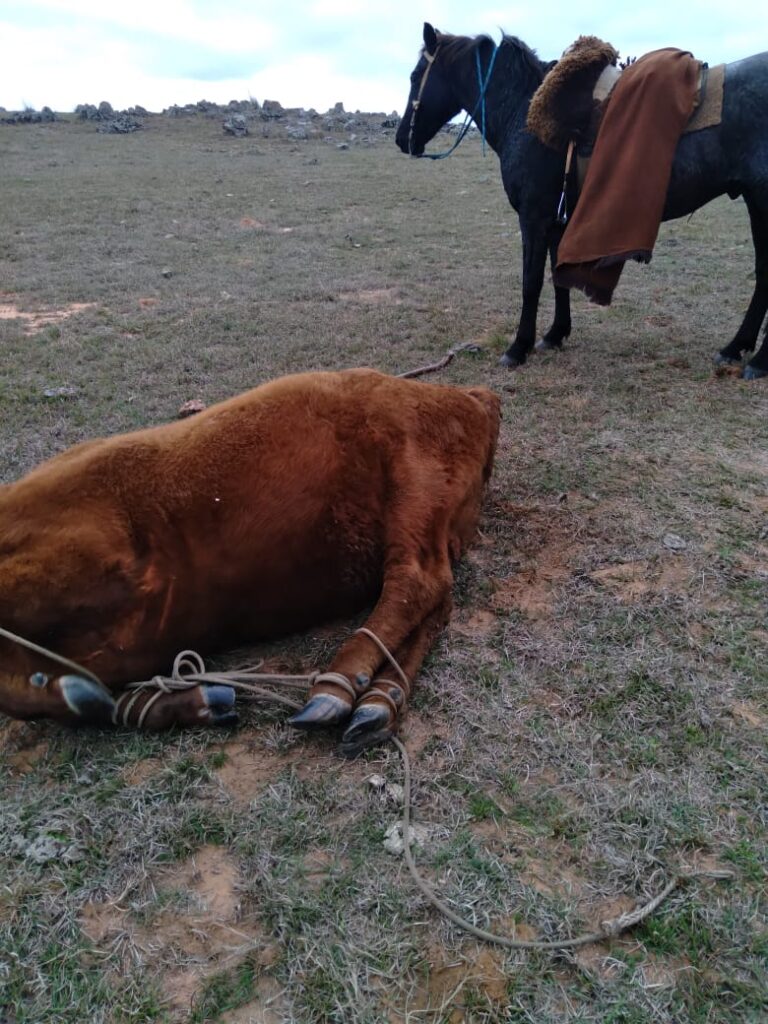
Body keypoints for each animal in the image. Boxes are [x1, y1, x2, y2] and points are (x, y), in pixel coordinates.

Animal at [0, 368, 501, 753]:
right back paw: (378, 704)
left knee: (415, 579)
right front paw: (194, 702)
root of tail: (475, 397)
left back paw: (334, 690)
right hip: (432, 520)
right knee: (436, 597)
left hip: (414, 484)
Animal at [399, 24, 768, 385]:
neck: (524, 111)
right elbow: (557, 274)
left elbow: (531, 281)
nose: (402, 139)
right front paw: (555, 334)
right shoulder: (557, 219)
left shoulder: (534, 217)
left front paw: (518, 348)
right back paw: (736, 348)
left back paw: (757, 361)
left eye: (415, 76)